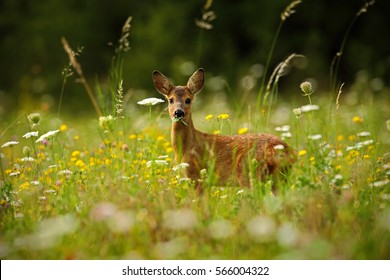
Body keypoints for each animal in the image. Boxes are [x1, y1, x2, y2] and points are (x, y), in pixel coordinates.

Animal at [152, 69, 296, 194]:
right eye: (171, 100)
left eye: (188, 100)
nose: (178, 112)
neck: (186, 147)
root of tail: (284, 150)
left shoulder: (196, 175)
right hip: (279, 178)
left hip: (248, 172)